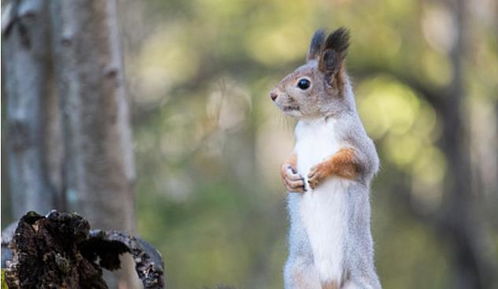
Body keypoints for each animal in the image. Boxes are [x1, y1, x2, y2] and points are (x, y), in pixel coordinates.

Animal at [268, 27, 382, 288]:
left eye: (303, 83)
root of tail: (330, 282)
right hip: (298, 274)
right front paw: (287, 177)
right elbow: (289, 160)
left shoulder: (359, 143)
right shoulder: (298, 144)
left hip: (359, 279)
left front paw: (322, 169)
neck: (316, 122)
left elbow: (359, 162)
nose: (272, 95)